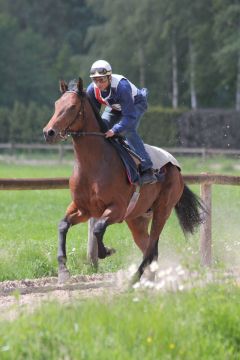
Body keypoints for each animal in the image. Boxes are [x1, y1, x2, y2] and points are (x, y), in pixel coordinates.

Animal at [43, 79, 204, 284]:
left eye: (72, 107)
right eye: (57, 104)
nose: (49, 132)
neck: (94, 165)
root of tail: (175, 166)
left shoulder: (117, 208)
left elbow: (98, 228)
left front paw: (107, 251)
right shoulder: (83, 209)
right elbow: (63, 225)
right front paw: (63, 271)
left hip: (162, 210)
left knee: (151, 247)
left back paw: (135, 278)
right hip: (137, 218)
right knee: (149, 248)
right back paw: (148, 279)